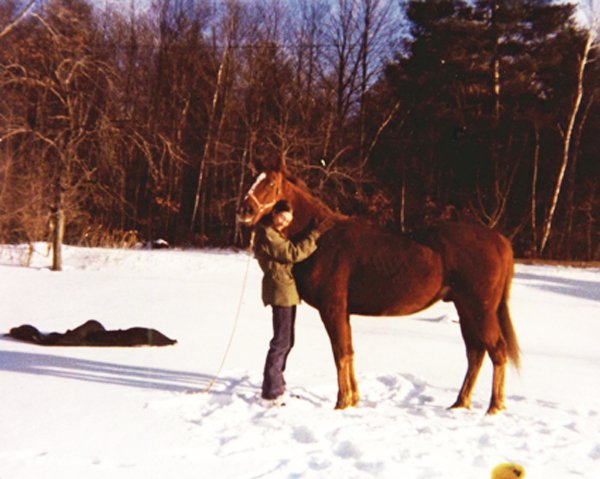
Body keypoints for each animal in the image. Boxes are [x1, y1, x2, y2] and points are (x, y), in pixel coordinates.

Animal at [237, 171, 516, 414]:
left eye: (270, 184)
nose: (244, 210)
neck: (322, 241)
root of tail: (498, 240)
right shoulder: (343, 313)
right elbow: (349, 352)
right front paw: (353, 399)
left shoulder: (332, 309)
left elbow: (340, 353)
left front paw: (342, 403)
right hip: (466, 309)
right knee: (475, 353)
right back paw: (460, 403)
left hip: (481, 310)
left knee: (497, 350)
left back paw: (494, 407)